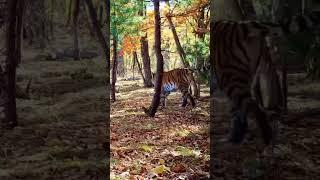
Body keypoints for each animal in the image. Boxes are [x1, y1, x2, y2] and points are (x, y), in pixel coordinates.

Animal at [211, 10, 320, 145]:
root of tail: (241, 25)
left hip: (229, 77)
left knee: (253, 107)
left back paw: (265, 140)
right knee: (242, 110)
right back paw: (234, 139)